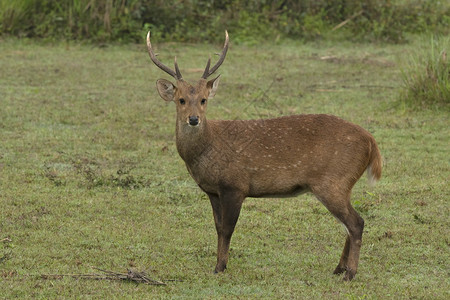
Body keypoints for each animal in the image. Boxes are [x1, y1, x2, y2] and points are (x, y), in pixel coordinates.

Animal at [148, 31, 384, 282]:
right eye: (181, 99)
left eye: (204, 99)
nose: (193, 119)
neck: (205, 152)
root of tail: (371, 142)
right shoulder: (213, 191)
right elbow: (218, 227)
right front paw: (219, 264)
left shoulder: (235, 185)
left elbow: (228, 229)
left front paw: (220, 267)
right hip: (341, 184)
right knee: (348, 224)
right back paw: (339, 268)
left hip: (333, 181)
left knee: (356, 222)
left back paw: (350, 273)